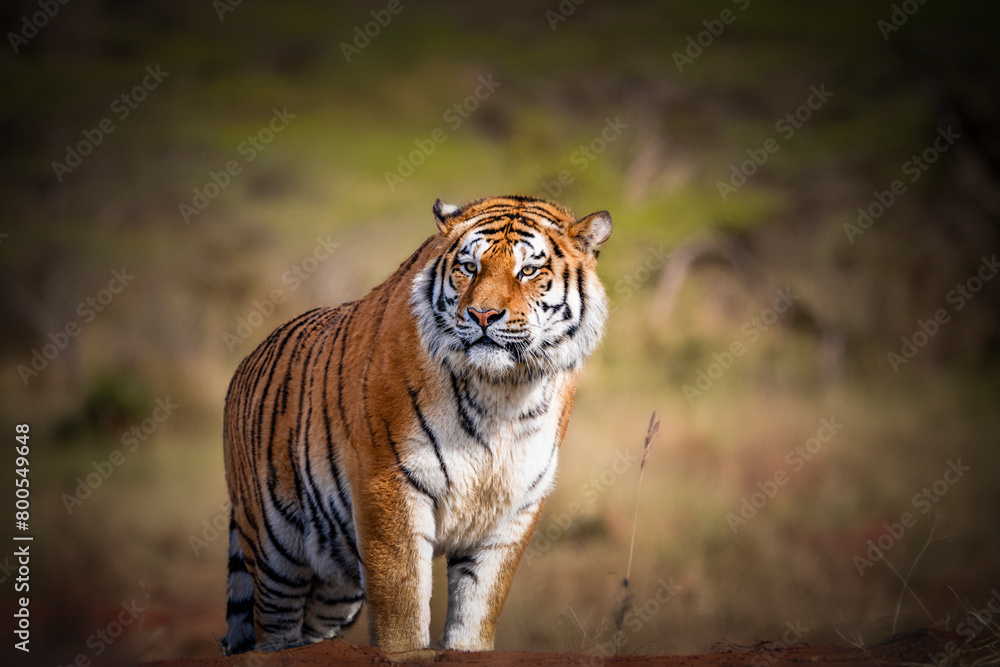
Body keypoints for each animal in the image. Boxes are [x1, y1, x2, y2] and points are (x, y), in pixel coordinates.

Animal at [221, 195, 612, 655]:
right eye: (469, 267)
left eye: (528, 271)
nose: (482, 315)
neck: (503, 394)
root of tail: (246, 361)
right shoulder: (390, 485)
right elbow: (401, 608)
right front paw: (405, 646)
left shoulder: (513, 508)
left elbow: (478, 608)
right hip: (274, 552)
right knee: (273, 630)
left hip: (332, 589)